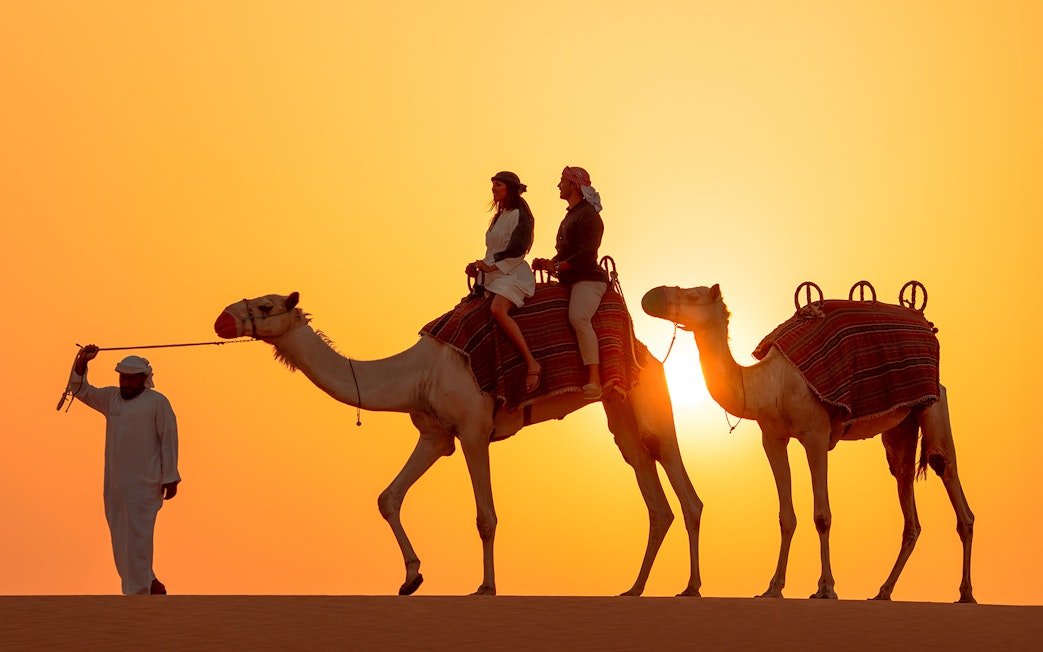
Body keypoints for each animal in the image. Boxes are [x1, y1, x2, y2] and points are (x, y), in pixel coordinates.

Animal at [214, 291, 703, 596]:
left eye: (266, 304)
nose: (223, 319)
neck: (417, 374)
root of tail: (646, 350)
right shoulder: (435, 435)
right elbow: (388, 498)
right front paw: (411, 578)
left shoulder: (473, 430)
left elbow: (485, 517)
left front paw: (486, 586)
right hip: (619, 412)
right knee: (652, 491)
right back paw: (635, 588)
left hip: (649, 398)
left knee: (682, 485)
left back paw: (691, 587)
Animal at [641, 284, 974, 603]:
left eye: (693, 296)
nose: (652, 297)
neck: (771, 385)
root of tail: (926, 325)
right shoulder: (772, 438)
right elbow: (785, 517)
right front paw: (773, 588)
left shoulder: (816, 434)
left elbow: (822, 516)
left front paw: (826, 588)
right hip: (901, 423)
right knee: (904, 482)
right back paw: (883, 591)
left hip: (934, 403)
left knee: (946, 470)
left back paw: (966, 593)